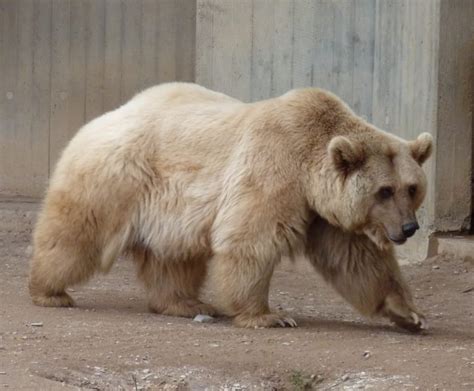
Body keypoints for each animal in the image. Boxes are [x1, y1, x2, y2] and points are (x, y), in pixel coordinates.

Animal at [27, 82, 432, 330]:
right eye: (384, 190)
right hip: (117, 177)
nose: (409, 228)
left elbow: (357, 259)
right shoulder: (275, 169)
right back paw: (49, 291)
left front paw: (409, 314)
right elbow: (252, 239)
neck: (309, 169)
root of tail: (100, 118)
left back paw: (186, 303)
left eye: (411, 188)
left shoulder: (323, 212)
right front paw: (270, 316)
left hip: (171, 210)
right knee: (76, 234)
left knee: (174, 258)